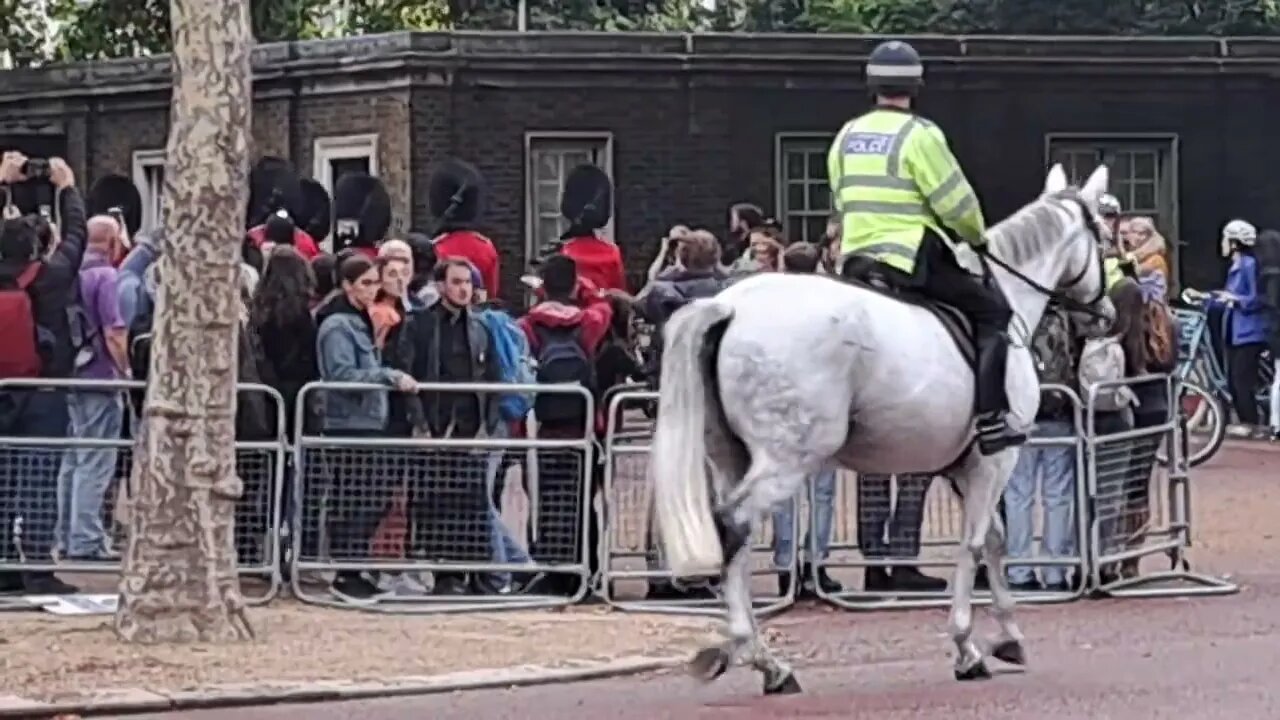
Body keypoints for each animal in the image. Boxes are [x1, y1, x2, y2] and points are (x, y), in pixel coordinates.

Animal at [655, 162, 1116, 691]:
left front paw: (1008, 636)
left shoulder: (965, 468)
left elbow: (996, 540)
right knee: (732, 526)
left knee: (736, 540)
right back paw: (750, 653)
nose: (1106, 316)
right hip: (785, 462)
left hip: (731, 457)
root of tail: (728, 307)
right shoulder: (997, 459)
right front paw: (967, 646)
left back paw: (759, 658)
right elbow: (975, 544)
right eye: (1103, 239)